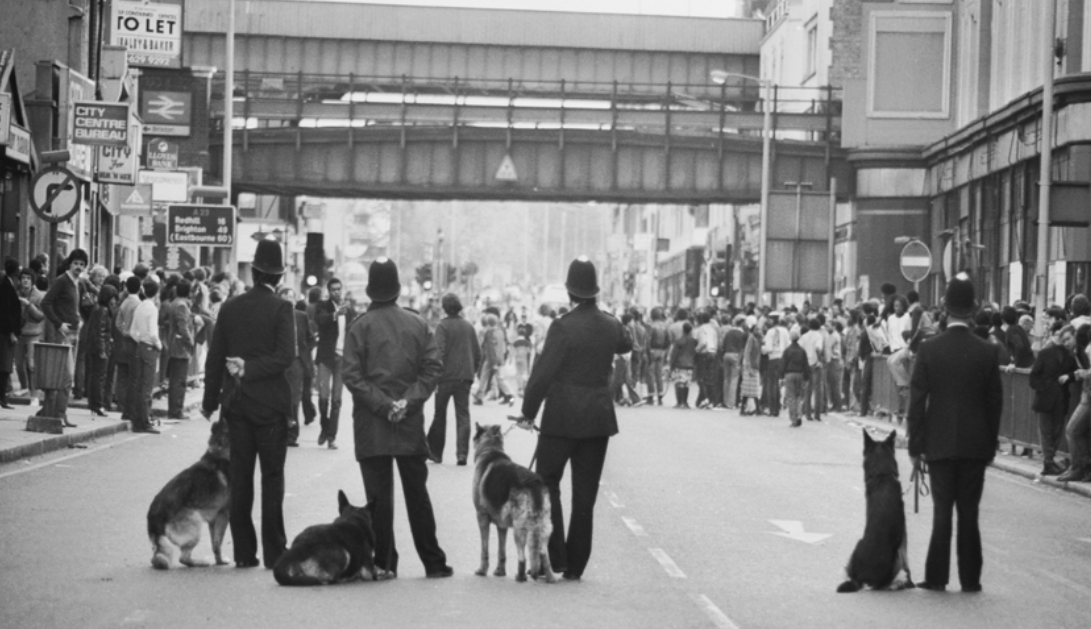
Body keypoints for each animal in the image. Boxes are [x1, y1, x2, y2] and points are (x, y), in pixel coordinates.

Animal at [147, 416, 230, 566]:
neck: (219, 455)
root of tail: (153, 516)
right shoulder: (223, 515)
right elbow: (218, 542)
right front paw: (221, 561)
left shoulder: (213, 519)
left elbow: (214, 544)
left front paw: (218, 560)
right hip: (195, 523)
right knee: (183, 558)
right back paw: (201, 563)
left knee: (157, 558)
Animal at [471, 425, 554, 579]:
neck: (491, 448)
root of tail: (534, 482)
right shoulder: (501, 525)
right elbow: (501, 551)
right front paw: (500, 571)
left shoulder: (481, 517)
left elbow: (484, 549)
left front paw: (482, 570)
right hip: (545, 526)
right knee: (543, 554)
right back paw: (550, 577)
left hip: (519, 528)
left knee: (522, 557)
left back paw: (520, 577)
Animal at [837, 429, 916, 593]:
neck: (882, 475)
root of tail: (860, 580)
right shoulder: (903, 535)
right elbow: (907, 560)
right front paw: (910, 581)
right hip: (895, 559)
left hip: (856, 546)